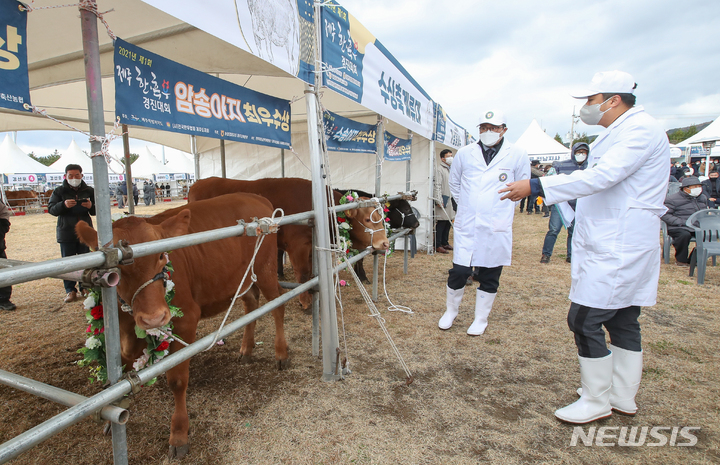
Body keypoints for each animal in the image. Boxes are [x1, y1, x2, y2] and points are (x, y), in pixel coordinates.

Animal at [73, 192, 286, 456]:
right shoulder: (121, 328)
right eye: (119, 267)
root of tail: (253, 195)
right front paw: (115, 418)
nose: (154, 318)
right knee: (251, 304)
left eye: (161, 256)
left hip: (266, 269)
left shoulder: (186, 320)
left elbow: (177, 380)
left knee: (278, 303)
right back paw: (246, 349)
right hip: (241, 279)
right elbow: (122, 368)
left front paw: (179, 434)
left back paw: (281, 353)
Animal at [186, 177, 388, 308]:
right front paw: (305, 302)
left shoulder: (310, 247)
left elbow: (311, 273)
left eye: (381, 216)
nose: (385, 243)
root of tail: (200, 182)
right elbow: (303, 274)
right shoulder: (297, 246)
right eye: (368, 219)